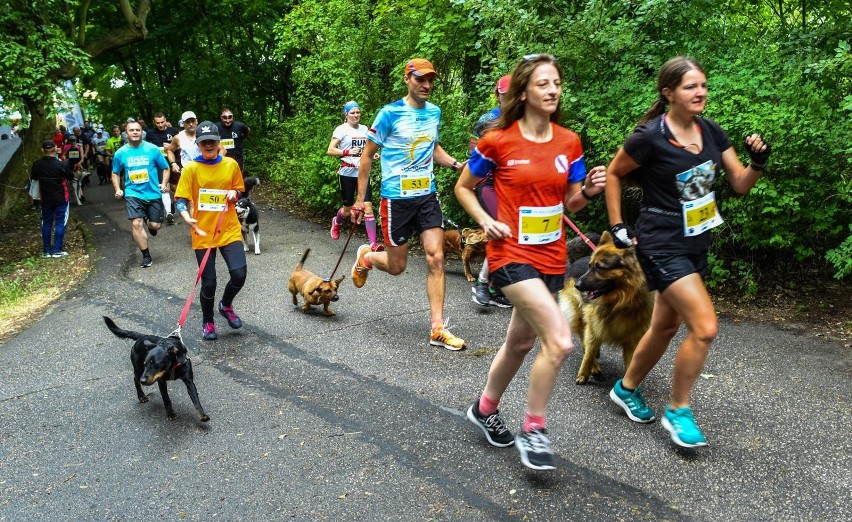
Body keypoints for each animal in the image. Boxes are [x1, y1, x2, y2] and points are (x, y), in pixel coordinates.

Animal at [560, 231, 652, 382]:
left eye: (599, 268)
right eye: (590, 266)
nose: (577, 285)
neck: (619, 303)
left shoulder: (632, 339)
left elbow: (630, 363)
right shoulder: (593, 328)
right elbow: (589, 351)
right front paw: (584, 373)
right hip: (578, 316)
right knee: (583, 340)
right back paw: (594, 366)